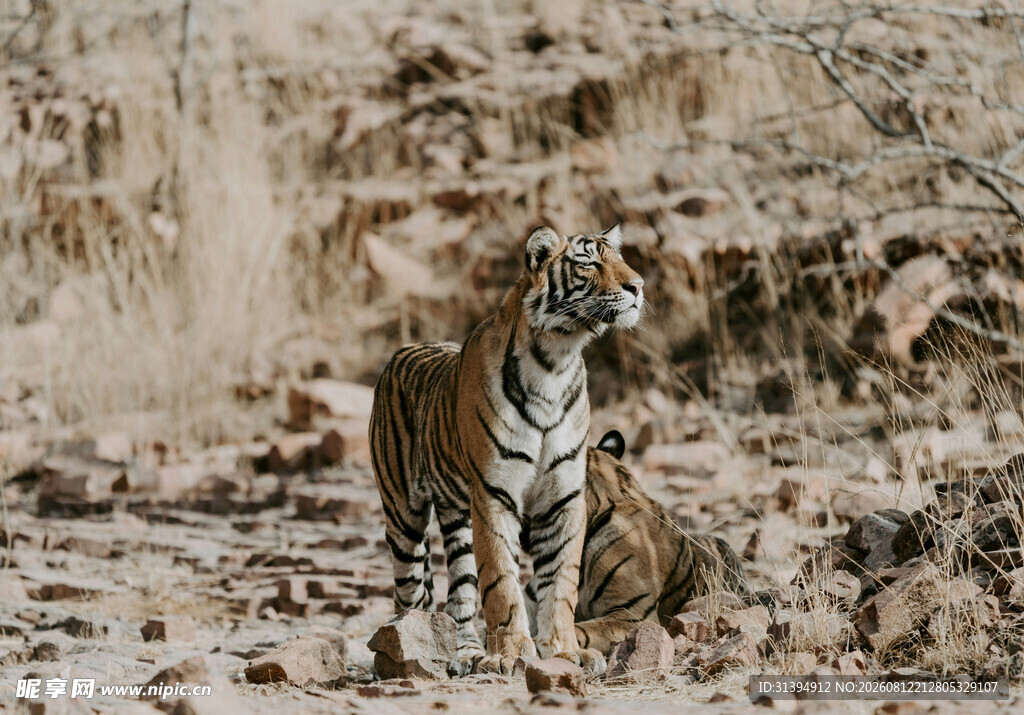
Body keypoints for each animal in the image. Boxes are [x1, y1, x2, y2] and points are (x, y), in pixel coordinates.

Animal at [369, 225, 644, 676]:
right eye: (588, 263)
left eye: (620, 259)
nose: (638, 286)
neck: (556, 362)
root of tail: (402, 351)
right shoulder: (494, 494)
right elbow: (501, 582)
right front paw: (513, 654)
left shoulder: (563, 496)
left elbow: (560, 583)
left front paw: (563, 650)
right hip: (403, 517)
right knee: (409, 594)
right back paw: (403, 656)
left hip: (459, 519)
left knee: (461, 593)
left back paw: (467, 654)